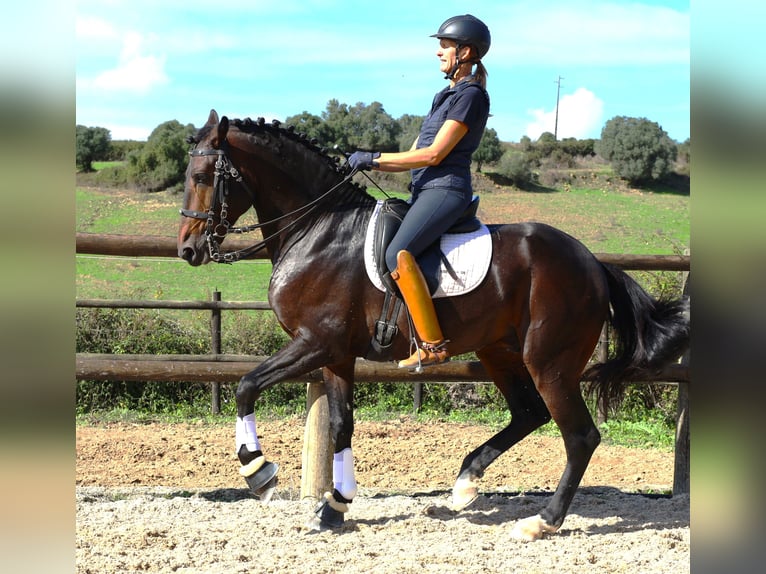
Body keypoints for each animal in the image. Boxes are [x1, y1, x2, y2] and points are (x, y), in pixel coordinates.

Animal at [178, 110, 688, 544]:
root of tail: (593, 264)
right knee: (529, 414)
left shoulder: (314, 343)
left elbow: (246, 385)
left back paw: (541, 522)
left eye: (202, 178)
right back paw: (465, 482)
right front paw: (335, 506)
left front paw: (259, 473)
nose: (187, 250)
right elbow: (341, 425)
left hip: (549, 362)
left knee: (580, 436)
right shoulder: (336, 354)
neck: (318, 229)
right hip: (498, 351)